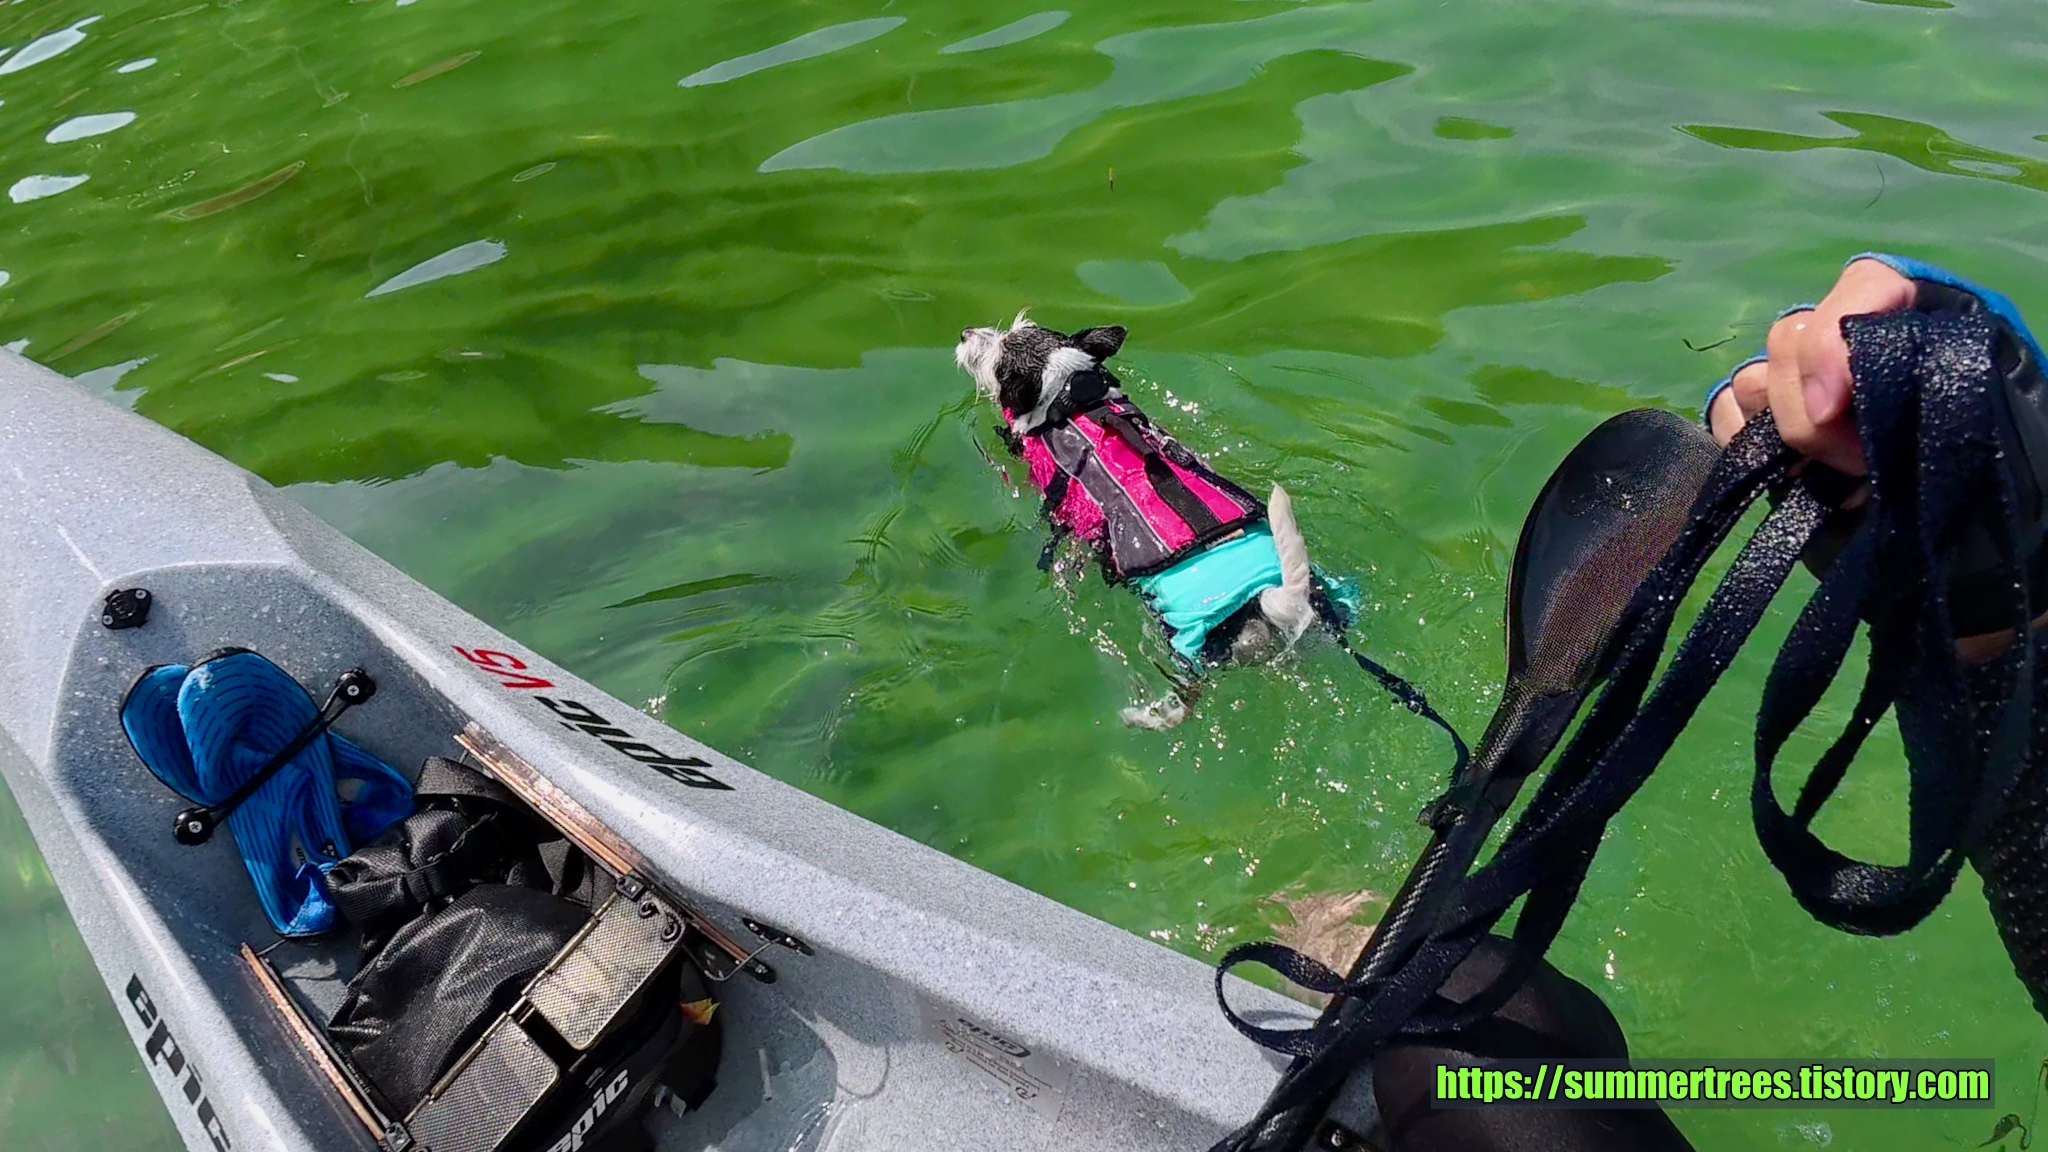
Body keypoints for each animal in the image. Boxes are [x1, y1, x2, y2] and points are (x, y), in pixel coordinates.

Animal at [955, 314, 1337, 728]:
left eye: (998, 360)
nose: (964, 333)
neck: (1070, 400)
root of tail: (1264, 599)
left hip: (1185, 643)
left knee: (1187, 700)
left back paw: (1146, 716)